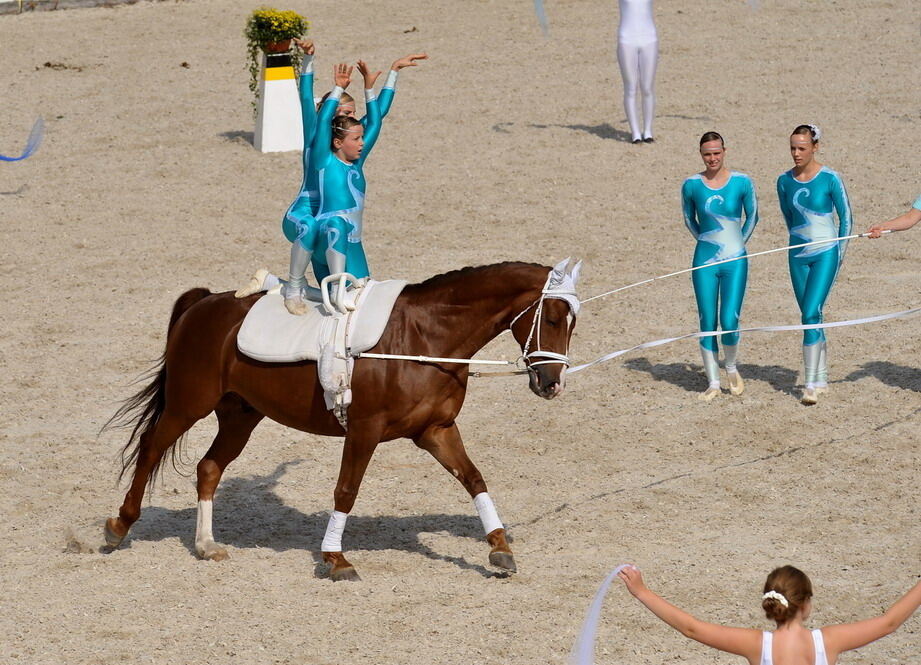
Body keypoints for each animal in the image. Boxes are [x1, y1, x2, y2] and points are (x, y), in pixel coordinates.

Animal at [106, 260, 584, 580]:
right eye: (552, 317)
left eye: (573, 322)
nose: (552, 384)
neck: (425, 338)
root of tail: (203, 302)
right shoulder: (364, 430)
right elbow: (346, 490)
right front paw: (335, 559)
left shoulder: (435, 431)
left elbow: (474, 479)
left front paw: (500, 548)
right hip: (189, 404)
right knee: (151, 448)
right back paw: (119, 526)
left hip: (241, 415)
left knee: (209, 467)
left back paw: (206, 545)